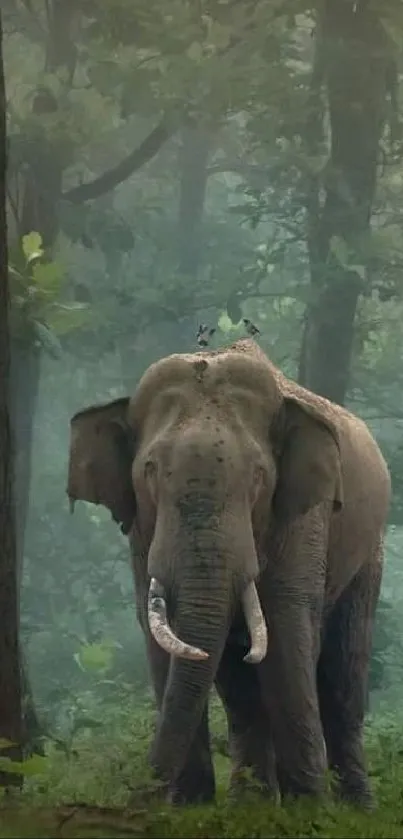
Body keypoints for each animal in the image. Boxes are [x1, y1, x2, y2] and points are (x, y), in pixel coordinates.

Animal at [67, 338, 392, 812]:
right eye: (149, 470)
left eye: (258, 475)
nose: (140, 796)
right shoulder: (142, 532)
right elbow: (160, 632)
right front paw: (187, 811)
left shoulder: (303, 519)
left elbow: (288, 631)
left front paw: (309, 812)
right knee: (243, 693)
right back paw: (248, 805)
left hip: (370, 554)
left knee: (342, 677)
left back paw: (356, 809)